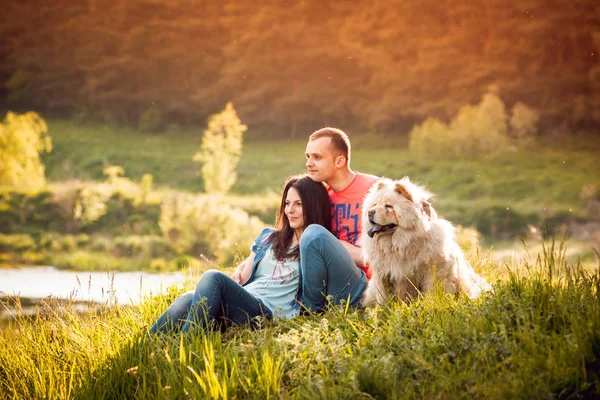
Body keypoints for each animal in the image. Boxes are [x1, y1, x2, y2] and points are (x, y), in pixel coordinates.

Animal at [358, 177, 490, 304]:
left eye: (389, 206)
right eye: (375, 205)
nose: (370, 212)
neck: (400, 242)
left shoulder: (431, 269)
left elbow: (432, 290)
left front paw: (431, 303)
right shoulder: (383, 273)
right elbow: (384, 295)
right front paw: (385, 308)